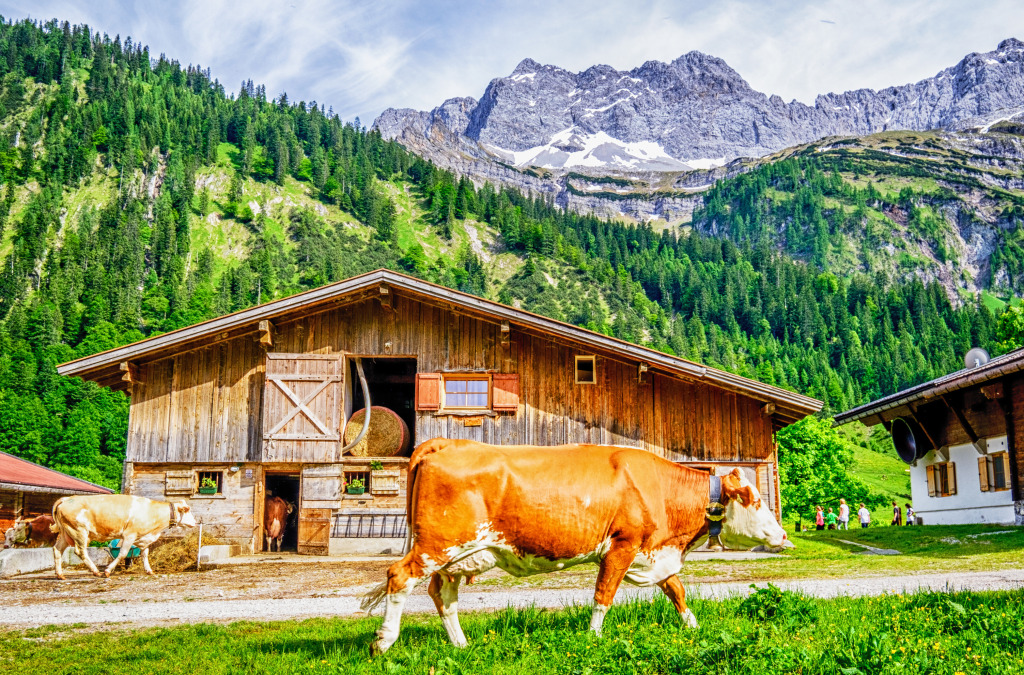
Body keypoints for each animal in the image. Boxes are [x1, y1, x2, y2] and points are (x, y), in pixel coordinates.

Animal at [49, 491, 197, 581]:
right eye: (187, 511)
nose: (195, 523)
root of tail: (67, 498)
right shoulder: (129, 535)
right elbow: (122, 554)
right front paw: (108, 571)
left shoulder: (143, 538)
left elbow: (145, 555)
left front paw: (149, 570)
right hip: (79, 531)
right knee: (81, 551)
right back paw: (96, 571)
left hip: (66, 533)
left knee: (57, 550)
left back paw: (60, 575)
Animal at [364, 438, 786, 655]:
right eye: (754, 500)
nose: (783, 536)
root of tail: (445, 442)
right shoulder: (622, 546)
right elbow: (604, 596)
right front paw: (594, 638)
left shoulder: (653, 552)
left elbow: (677, 591)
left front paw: (693, 627)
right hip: (438, 544)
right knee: (399, 577)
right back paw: (383, 642)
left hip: (459, 554)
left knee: (442, 594)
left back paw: (462, 645)